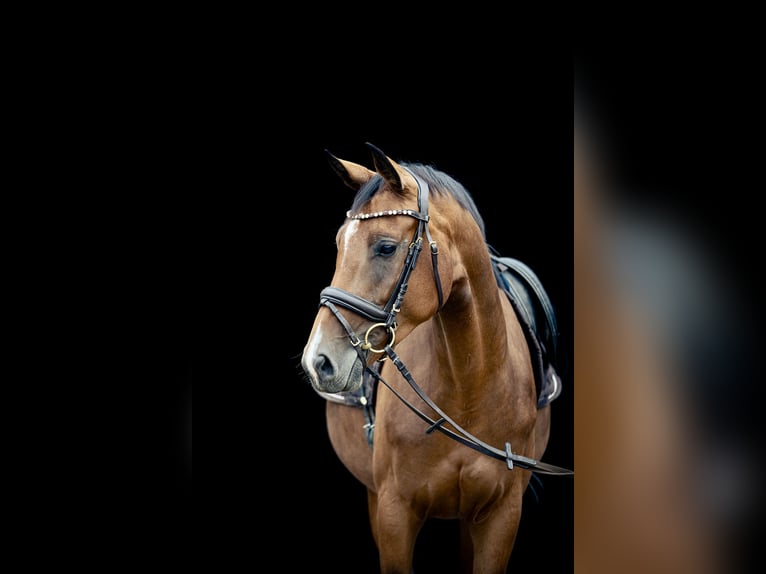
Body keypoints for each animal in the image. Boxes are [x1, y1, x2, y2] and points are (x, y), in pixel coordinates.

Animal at [301, 143, 572, 573]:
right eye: (340, 243)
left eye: (386, 247)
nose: (318, 361)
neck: (470, 386)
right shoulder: (394, 512)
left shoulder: (502, 515)